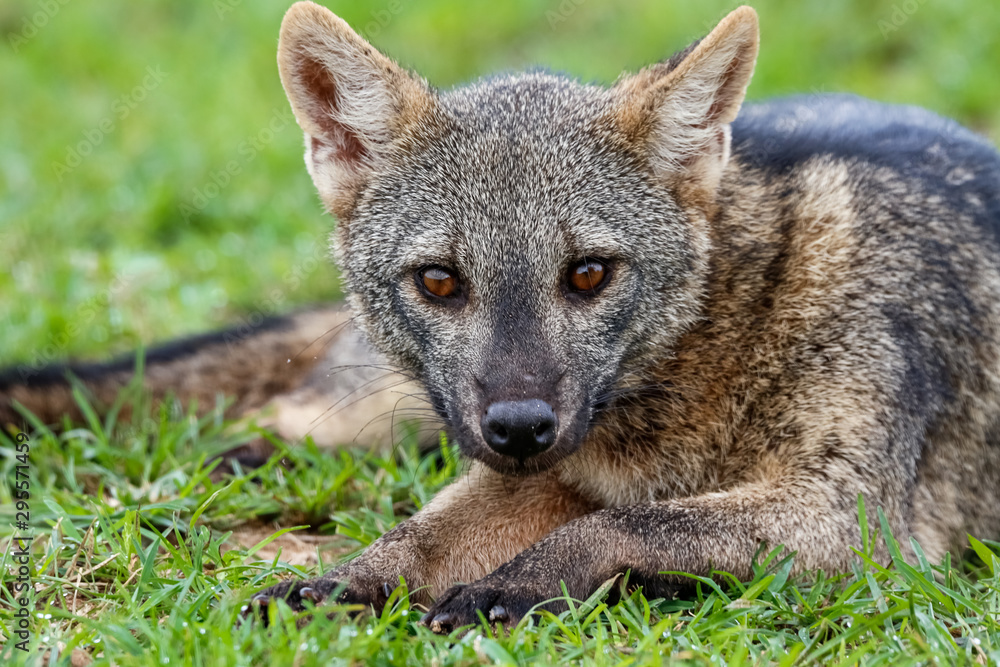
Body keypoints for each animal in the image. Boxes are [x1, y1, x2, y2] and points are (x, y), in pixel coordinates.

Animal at [4, 1, 1000, 634]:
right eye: (441, 281)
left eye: (589, 274)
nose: (520, 426)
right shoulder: (537, 470)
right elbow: (422, 531)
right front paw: (345, 581)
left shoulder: (856, 518)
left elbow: (623, 526)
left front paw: (506, 589)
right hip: (383, 411)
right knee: (268, 420)